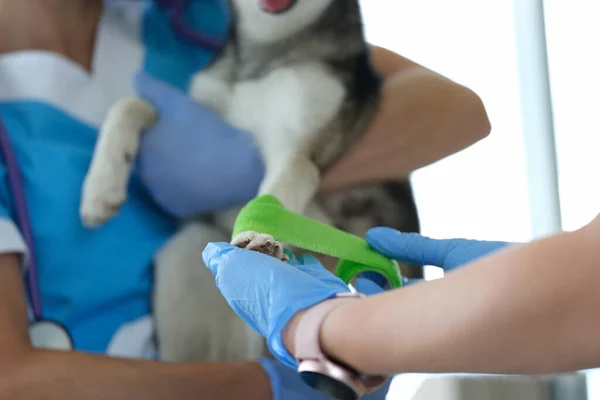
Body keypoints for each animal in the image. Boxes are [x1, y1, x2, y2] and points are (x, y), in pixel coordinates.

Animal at [79, 0, 420, 362]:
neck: (262, 50)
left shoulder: (297, 148)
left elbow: (272, 197)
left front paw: (259, 240)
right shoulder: (193, 115)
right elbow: (129, 105)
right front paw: (100, 188)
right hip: (183, 256)